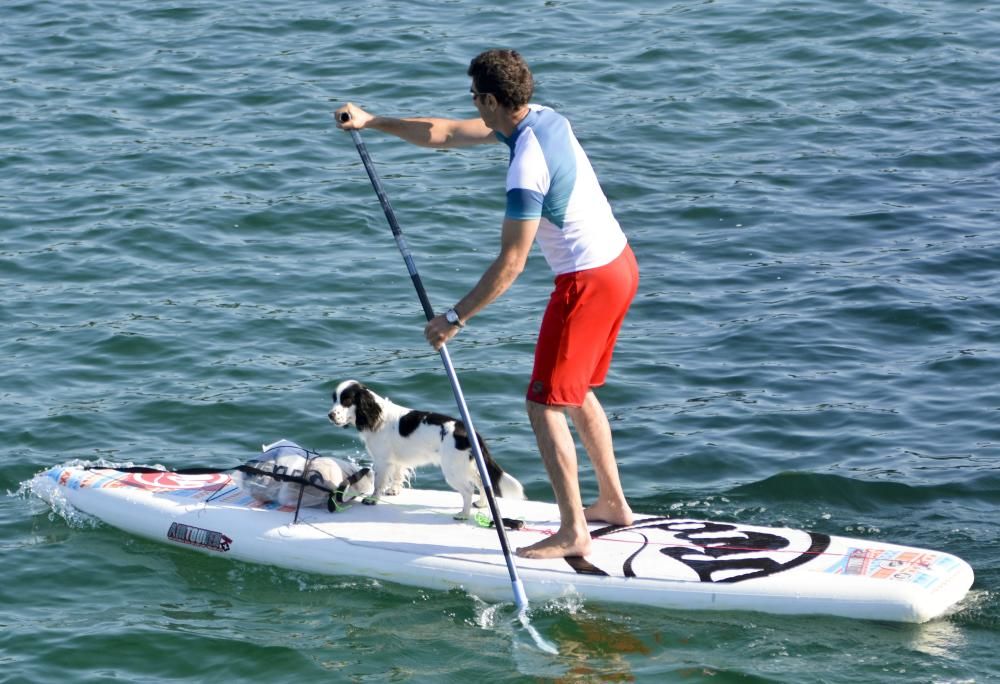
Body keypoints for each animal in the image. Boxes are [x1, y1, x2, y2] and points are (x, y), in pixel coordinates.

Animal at [330, 380, 532, 520]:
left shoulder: (381, 460)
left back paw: (463, 515)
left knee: (468, 490)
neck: (376, 415)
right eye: (334, 399)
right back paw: (481, 504)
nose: (330, 415)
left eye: (346, 400)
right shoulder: (396, 461)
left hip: (453, 470)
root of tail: (468, 431)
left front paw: (373, 499)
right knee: (482, 483)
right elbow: (397, 476)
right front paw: (394, 491)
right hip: (466, 465)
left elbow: (379, 483)